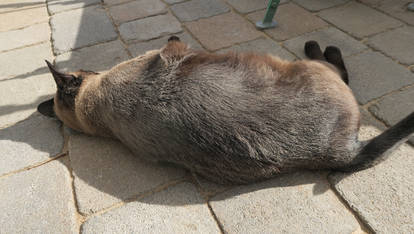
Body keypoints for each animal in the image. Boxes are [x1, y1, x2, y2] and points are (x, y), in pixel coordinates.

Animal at [38, 36, 414, 184]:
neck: (99, 110)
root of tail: (339, 153)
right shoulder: (175, 51)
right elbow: (175, 41)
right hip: (311, 68)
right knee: (336, 65)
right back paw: (319, 46)